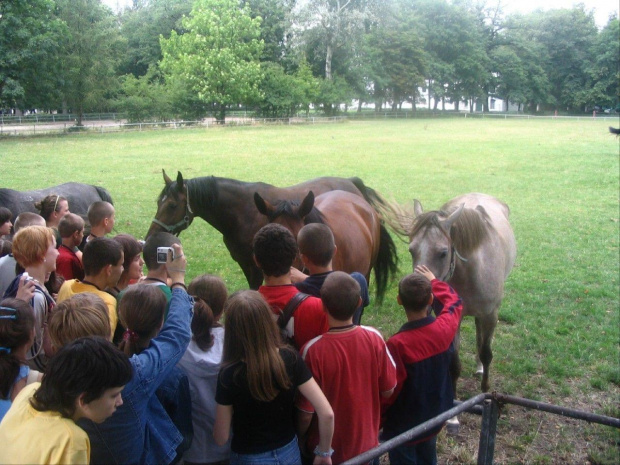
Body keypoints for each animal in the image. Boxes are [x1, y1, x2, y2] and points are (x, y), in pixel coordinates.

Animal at [406, 194, 512, 394]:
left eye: (443, 252)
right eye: (411, 250)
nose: (413, 292)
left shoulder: (491, 315)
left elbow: (487, 353)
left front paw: (485, 390)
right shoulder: (453, 317)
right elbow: (454, 364)